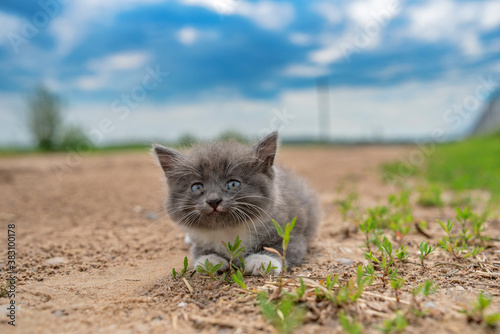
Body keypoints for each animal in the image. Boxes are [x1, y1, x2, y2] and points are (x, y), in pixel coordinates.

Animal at [152, 132, 322, 276]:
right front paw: (209, 259)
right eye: (197, 187)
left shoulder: (293, 231)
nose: (213, 200)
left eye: (233, 184)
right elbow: (198, 250)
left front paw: (262, 259)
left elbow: (283, 247)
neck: (229, 230)